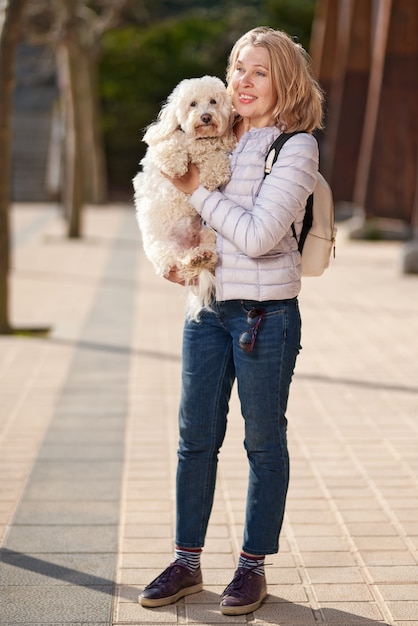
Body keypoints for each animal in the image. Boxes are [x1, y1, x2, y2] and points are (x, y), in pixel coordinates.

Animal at [135, 74, 238, 316]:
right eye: (192, 104)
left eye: (213, 101)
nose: (206, 117)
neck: (199, 141)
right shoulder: (161, 148)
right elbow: (170, 145)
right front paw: (176, 164)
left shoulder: (214, 150)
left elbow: (216, 157)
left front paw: (214, 174)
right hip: (164, 250)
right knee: (180, 265)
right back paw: (192, 259)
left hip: (208, 234)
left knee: (204, 258)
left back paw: (202, 257)